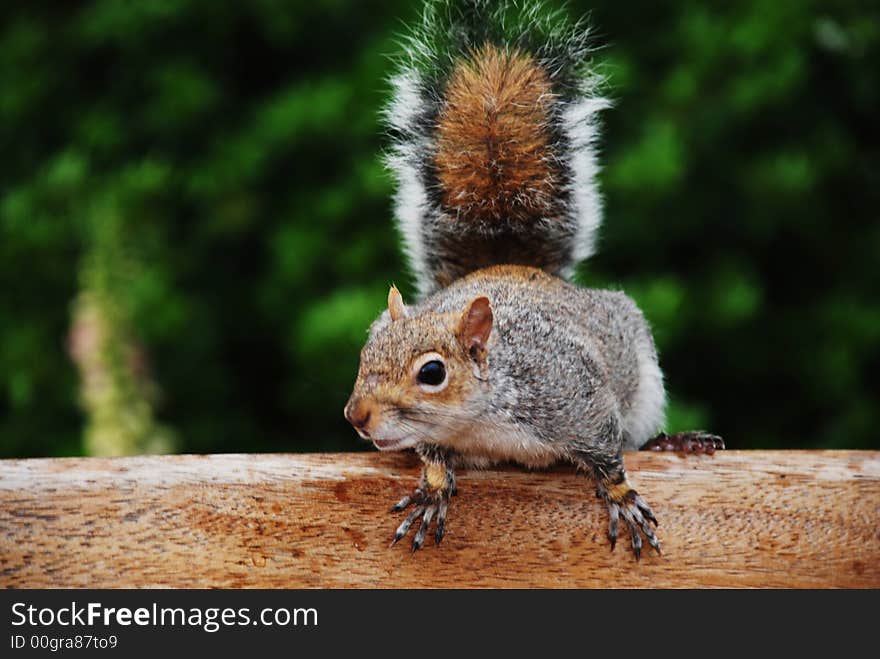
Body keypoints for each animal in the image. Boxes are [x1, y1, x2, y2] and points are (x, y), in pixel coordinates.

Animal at [344, 0, 720, 560]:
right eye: (366, 353)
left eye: (432, 373)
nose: (356, 415)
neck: (480, 422)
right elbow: (432, 456)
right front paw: (433, 488)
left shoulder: (576, 398)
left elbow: (607, 453)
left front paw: (621, 496)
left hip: (644, 383)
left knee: (636, 436)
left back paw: (673, 441)